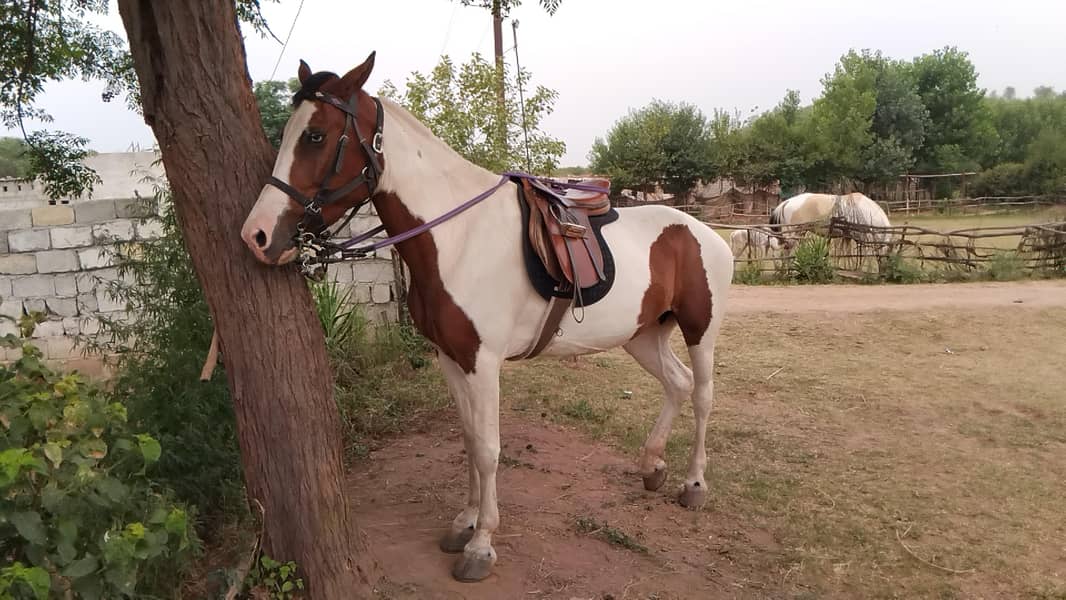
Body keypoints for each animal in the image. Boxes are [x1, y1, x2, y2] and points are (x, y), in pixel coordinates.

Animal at [239, 53, 734, 583]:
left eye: (315, 136)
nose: (257, 234)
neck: (457, 238)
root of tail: (706, 232)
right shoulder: (451, 359)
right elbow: (470, 441)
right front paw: (464, 522)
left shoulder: (483, 363)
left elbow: (489, 450)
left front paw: (481, 545)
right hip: (642, 334)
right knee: (677, 384)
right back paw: (652, 466)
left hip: (700, 331)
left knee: (703, 396)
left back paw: (694, 484)